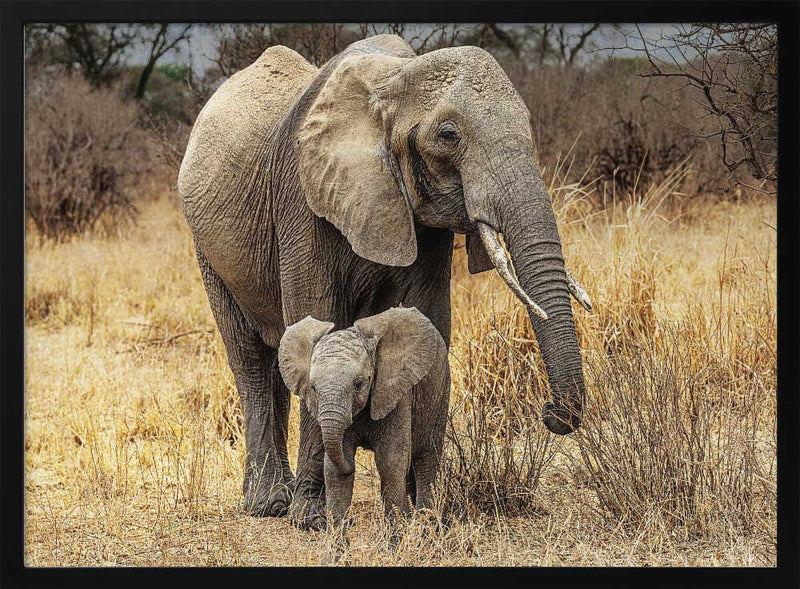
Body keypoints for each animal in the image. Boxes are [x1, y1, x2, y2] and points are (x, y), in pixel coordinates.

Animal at [277, 307, 450, 532]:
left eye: (359, 384)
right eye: (313, 388)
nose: (353, 467)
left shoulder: (395, 393)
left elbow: (390, 461)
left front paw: (396, 537)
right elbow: (334, 471)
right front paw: (337, 540)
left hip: (440, 387)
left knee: (427, 457)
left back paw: (427, 525)